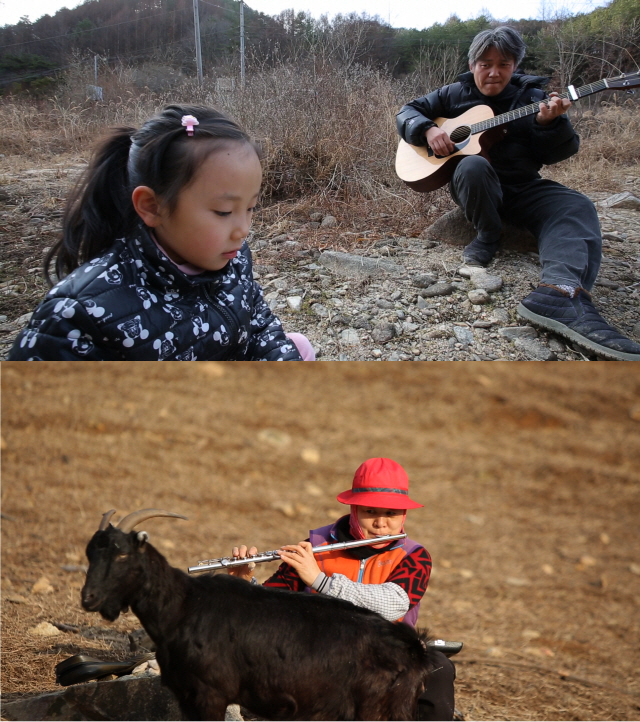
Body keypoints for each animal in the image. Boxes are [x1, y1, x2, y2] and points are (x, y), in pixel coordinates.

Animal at [80, 510, 440, 716]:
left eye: (123, 555)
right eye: (89, 553)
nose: (89, 598)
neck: (182, 606)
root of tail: (415, 648)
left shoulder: (211, 694)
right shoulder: (186, 696)